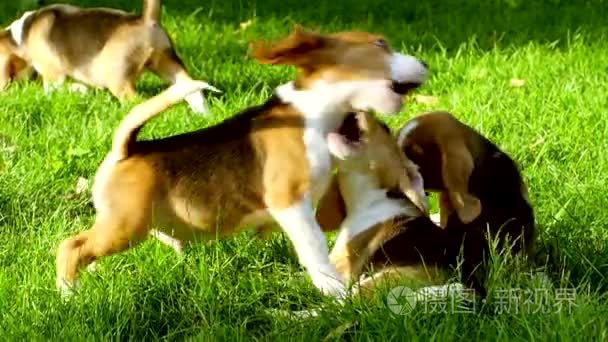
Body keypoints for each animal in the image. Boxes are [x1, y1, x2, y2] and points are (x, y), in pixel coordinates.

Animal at [4, 0, 214, 112]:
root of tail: (146, 19)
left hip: (118, 80)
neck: (22, 35)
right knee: (194, 91)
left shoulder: (53, 75)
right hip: (169, 64)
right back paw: (204, 115)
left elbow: (53, 89)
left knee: (137, 101)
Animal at [55, 26, 428, 300]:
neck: (313, 112)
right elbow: (315, 249)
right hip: (125, 227)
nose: (425, 64)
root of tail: (127, 148)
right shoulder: (291, 203)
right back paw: (69, 295)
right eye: (381, 44)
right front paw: (333, 289)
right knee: (70, 248)